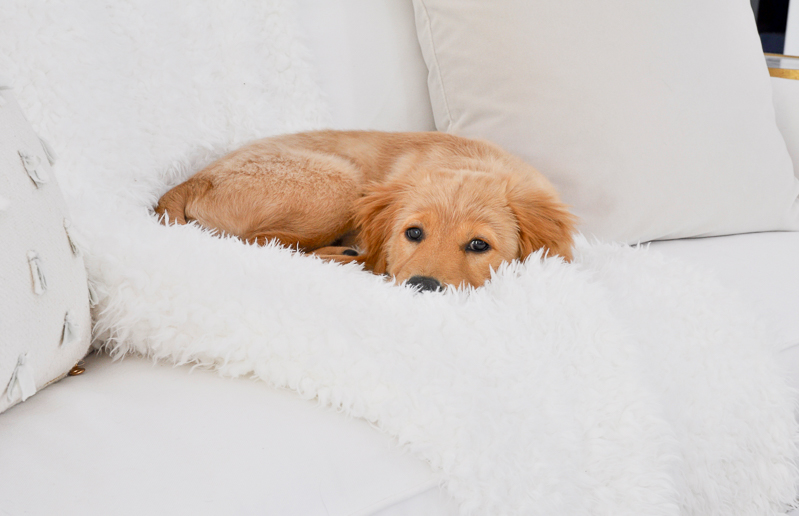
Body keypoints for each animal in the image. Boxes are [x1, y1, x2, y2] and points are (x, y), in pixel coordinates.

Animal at [155, 130, 576, 290]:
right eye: (413, 233)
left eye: (478, 245)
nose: (422, 287)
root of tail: (196, 178)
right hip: (339, 183)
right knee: (261, 242)